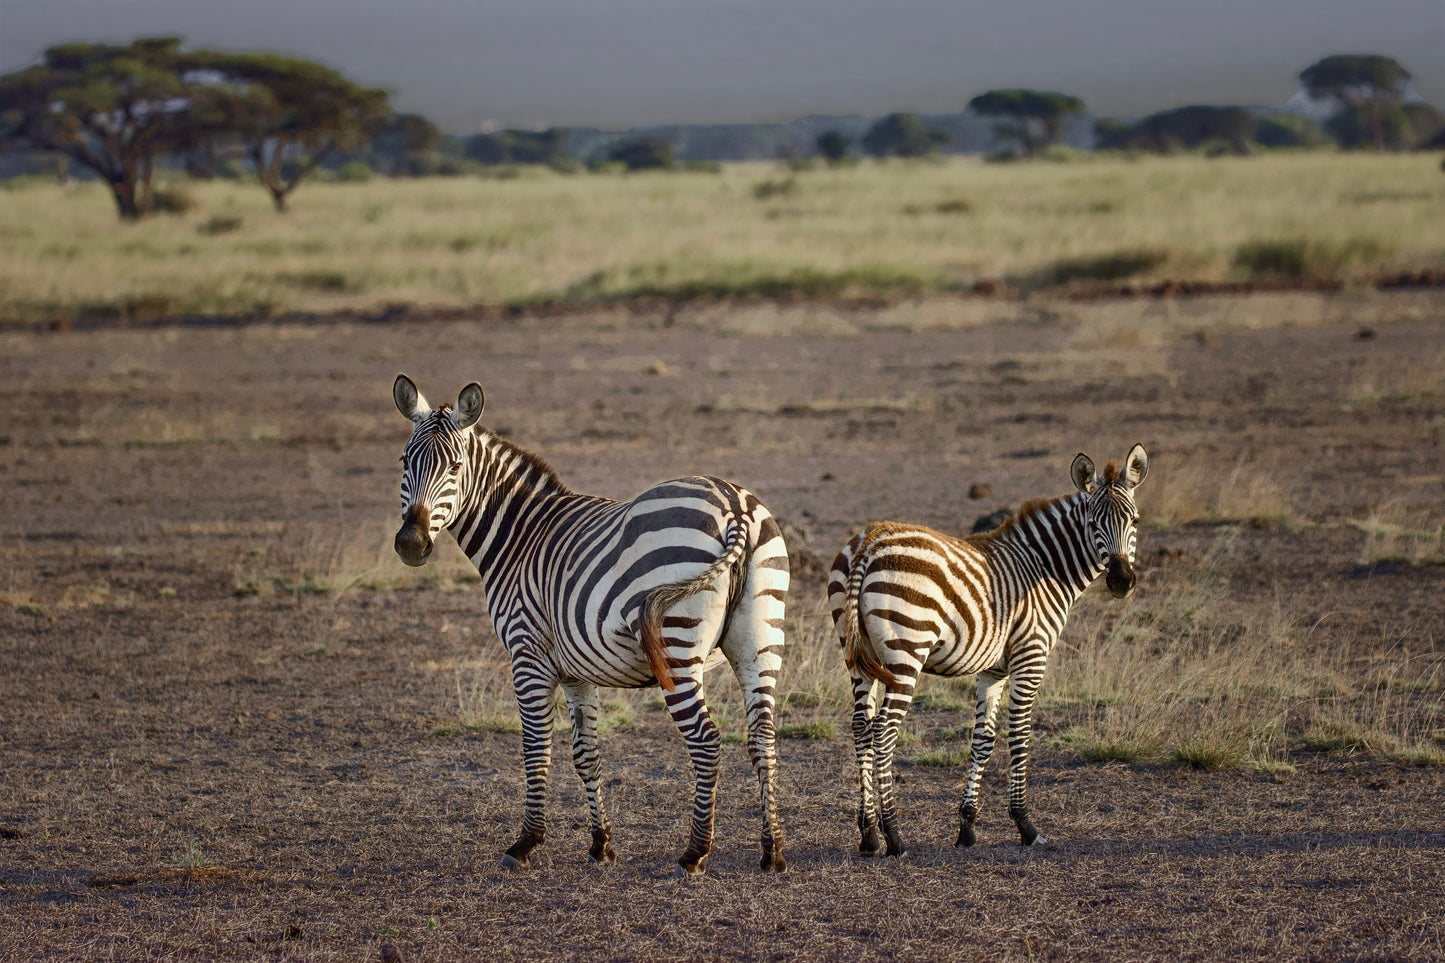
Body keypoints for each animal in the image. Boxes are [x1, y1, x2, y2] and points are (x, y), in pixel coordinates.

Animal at [391, 375, 788, 875]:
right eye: (405, 461)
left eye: (456, 467)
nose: (411, 543)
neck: (521, 536)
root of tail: (735, 505)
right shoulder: (577, 670)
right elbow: (586, 754)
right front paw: (601, 844)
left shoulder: (527, 653)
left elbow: (536, 748)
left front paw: (526, 842)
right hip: (760, 639)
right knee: (763, 738)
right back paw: (772, 850)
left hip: (677, 647)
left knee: (706, 741)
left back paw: (695, 851)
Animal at [828, 445, 1148, 857]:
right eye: (1093, 523)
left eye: (1135, 521)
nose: (1122, 581)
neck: (1042, 568)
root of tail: (869, 541)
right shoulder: (1030, 658)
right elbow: (1019, 737)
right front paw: (1025, 825)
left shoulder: (992, 669)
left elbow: (983, 741)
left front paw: (967, 826)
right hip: (906, 653)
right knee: (883, 732)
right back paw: (894, 836)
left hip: (859, 658)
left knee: (861, 729)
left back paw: (868, 834)